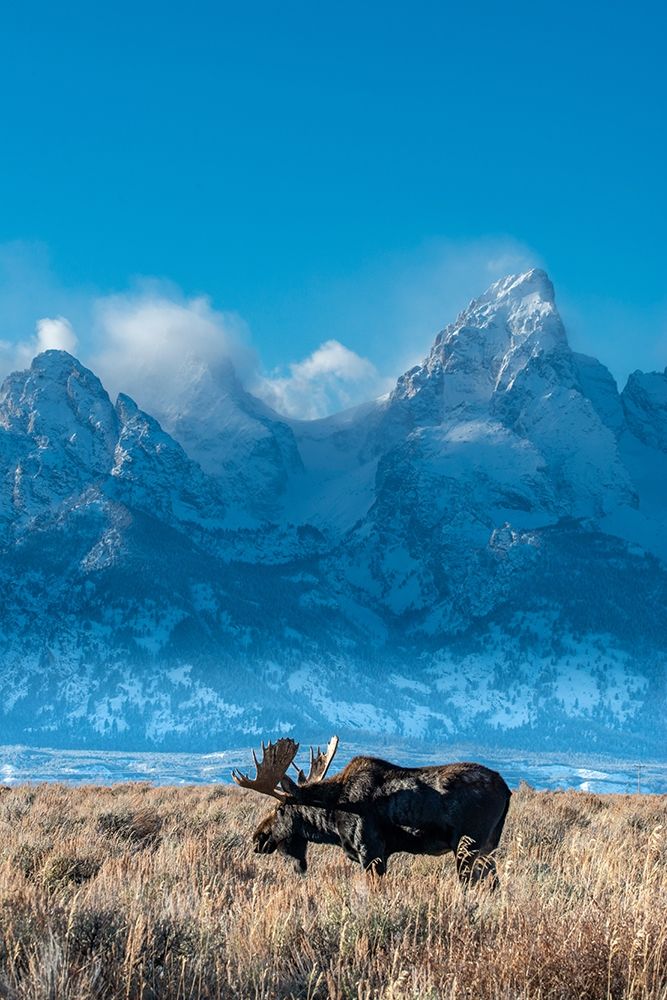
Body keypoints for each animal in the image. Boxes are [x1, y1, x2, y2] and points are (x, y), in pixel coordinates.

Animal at [232, 736, 511, 887]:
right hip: (487, 847)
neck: (332, 818)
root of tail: (507, 790)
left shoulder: (371, 851)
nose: (258, 838)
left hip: (469, 846)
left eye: (280, 808)